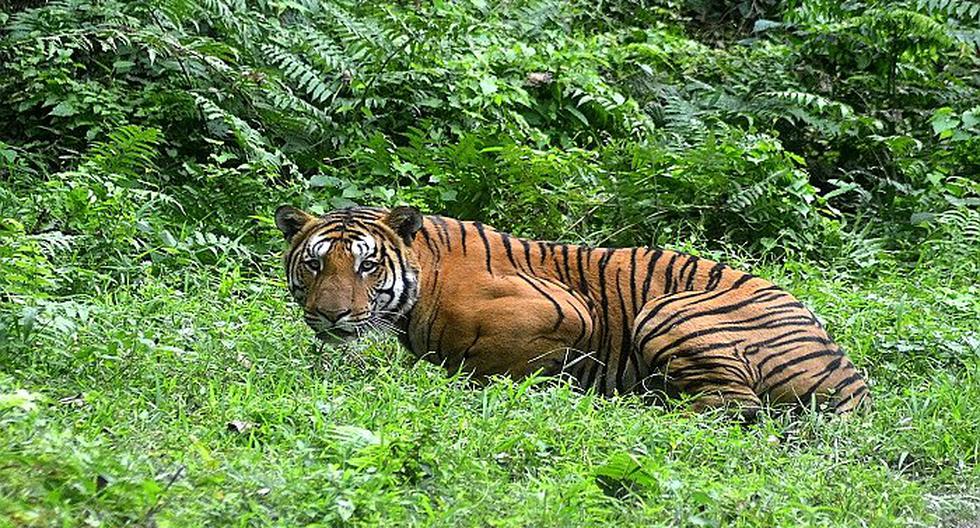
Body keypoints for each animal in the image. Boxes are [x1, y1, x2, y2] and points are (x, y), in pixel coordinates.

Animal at [274, 204, 870, 419]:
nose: (329, 316)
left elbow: (490, 364)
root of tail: (849, 375)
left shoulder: (568, 311)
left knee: (734, 407)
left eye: (367, 265)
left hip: (669, 310)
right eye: (315, 264)